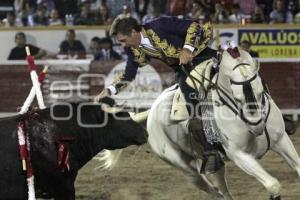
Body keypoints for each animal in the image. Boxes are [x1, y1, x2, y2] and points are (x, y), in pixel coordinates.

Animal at [96, 47, 300, 200]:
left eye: (262, 90)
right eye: (236, 97)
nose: (257, 126)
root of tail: (152, 109)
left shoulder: (281, 140)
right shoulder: (239, 155)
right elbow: (273, 185)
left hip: (213, 163)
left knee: (222, 189)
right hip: (187, 170)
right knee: (215, 193)